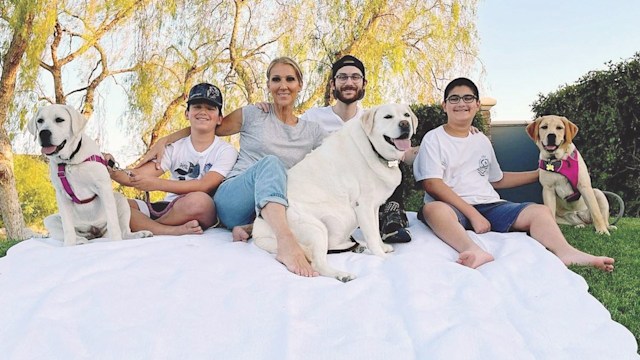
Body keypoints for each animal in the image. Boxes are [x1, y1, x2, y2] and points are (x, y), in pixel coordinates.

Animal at [28, 104, 153, 245]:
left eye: (59, 120)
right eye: (40, 121)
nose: (43, 133)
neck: (70, 160)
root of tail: (94, 231)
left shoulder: (103, 187)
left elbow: (113, 223)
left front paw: (115, 242)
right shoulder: (61, 195)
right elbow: (67, 227)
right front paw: (69, 245)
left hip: (121, 200)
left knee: (124, 231)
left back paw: (140, 234)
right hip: (50, 220)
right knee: (72, 232)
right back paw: (80, 240)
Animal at [252, 103, 418, 282]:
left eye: (406, 115)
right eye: (388, 117)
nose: (405, 124)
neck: (373, 148)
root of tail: (258, 231)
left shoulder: (373, 207)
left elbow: (374, 231)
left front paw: (382, 247)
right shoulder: (364, 206)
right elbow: (373, 235)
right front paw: (382, 256)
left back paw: (357, 246)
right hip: (316, 229)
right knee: (318, 263)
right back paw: (342, 274)